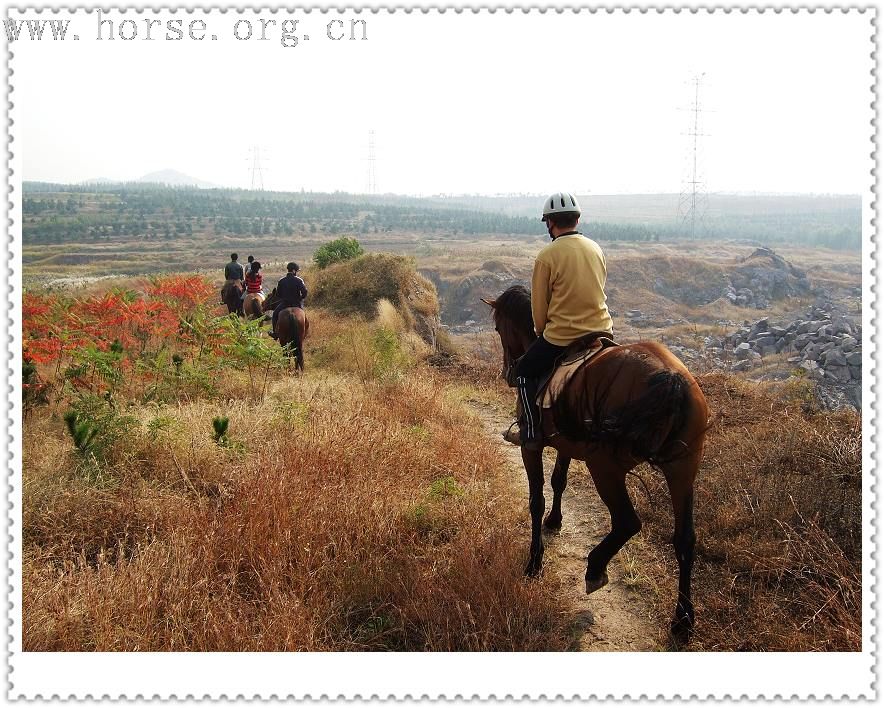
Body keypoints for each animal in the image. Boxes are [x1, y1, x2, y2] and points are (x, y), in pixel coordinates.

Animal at [484, 284, 712, 640]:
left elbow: (536, 499)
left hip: (605, 467)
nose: (509, 372)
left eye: (498, 328)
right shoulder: (566, 442)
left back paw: (595, 567)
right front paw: (555, 521)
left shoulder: (531, 447)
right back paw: (683, 619)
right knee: (685, 539)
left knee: (628, 522)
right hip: (683, 469)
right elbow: (559, 481)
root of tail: (670, 378)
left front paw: (535, 562)